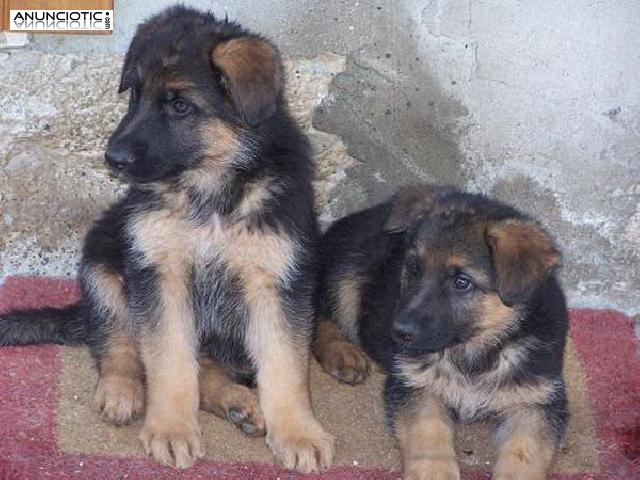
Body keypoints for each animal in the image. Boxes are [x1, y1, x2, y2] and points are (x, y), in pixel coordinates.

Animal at [1, 5, 336, 474]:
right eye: (134, 95)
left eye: (179, 105)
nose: (112, 159)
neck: (210, 187)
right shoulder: (159, 275)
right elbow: (168, 359)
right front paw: (172, 428)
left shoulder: (278, 282)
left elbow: (285, 366)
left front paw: (298, 432)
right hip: (103, 262)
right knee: (117, 342)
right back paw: (121, 390)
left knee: (206, 367)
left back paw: (239, 403)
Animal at [312, 185, 568, 480]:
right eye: (414, 268)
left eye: (461, 282)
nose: (398, 331)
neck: (474, 351)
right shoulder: (416, 386)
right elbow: (429, 432)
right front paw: (434, 472)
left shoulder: (537, 403)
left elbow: (524, 454)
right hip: (347, 273)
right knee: (319, 316)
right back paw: (342, 354)